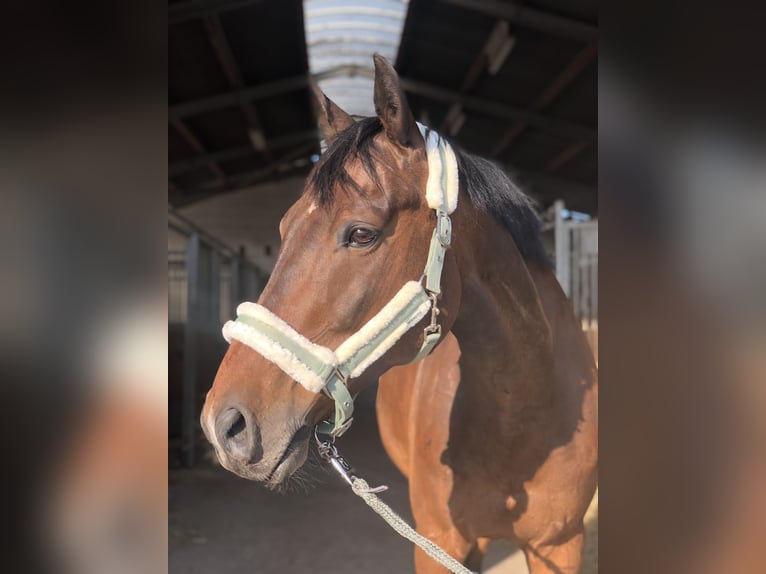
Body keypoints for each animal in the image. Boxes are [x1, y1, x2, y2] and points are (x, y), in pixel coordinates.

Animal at [204, 55, 600, 574]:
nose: (224, 425)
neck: (524, 414)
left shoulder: (563, 545)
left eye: (362, 234)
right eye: (285, 228)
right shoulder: (438, 543)